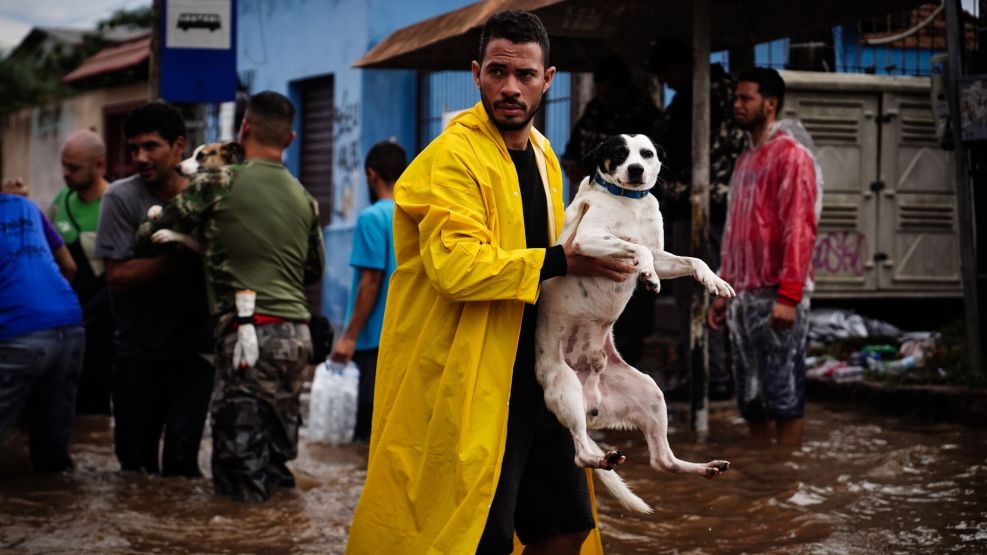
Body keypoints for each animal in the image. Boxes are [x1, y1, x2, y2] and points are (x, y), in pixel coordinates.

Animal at [536, 132, 736, 516]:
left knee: (662, 461)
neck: (629, 203)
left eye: (646, 153)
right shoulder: (588, 240)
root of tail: (592, 397)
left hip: (651, 394)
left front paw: (713, 281)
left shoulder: (663, 255)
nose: (636, 170)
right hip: (565, 389)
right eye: (618, 153)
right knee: (581, 454)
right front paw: (646, 276)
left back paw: (704, 467)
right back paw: (601, 459)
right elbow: (637, 252)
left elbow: (693, 259)